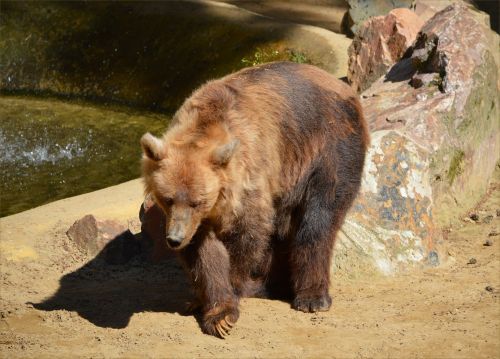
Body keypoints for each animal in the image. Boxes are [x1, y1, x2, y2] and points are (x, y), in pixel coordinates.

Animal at [140, 60, 368, 338]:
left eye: (197, 201)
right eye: (167, 199)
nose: (175, 239)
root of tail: (342, 85)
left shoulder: (251, 176)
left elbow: (246, 237)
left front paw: (226, 302)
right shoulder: (200, 218)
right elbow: (203, 252)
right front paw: (210, 307)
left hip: (328, 145)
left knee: (318, 218)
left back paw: (311, 297)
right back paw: (270, 285)